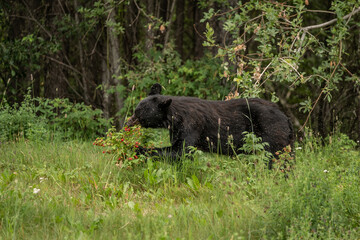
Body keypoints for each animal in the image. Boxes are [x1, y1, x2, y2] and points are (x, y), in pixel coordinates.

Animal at [126, 83, 292, 166]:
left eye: (138, 113)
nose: (127, 122)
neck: (174, 116)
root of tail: (286, 117)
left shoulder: (191, 125)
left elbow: (180, 151)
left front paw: (136, 149)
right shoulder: (176, 129)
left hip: (270, 132)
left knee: (275, 158)